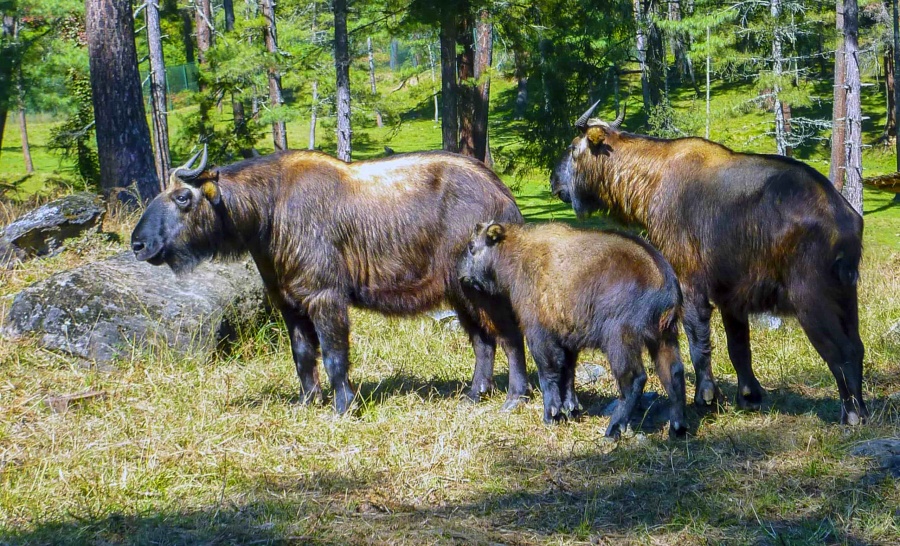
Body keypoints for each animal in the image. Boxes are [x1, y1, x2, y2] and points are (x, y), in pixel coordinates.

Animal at [132, 147, 528, 410]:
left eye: (182, 197)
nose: (138, 244)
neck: (271, 210)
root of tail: (504, 195)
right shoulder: (290, 303)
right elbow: (303, 356)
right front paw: (308, 402)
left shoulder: (325, 296)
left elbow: (335, 355)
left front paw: (344, 405)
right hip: (461, 293)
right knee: (483, 341)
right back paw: (475, 394)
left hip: (483, 292)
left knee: (510, 337)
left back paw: (515, 396)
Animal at [460, 221, 684, 438]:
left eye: (471, 246)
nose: (460, 274)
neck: (518, 256)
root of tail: (667, 283)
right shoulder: (568, 340)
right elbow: (567, 373)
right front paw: (571, 410)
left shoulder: (540, 335)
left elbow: (549, 373)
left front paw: (551, 415)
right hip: (664, 339)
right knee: (674, 374)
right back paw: (677, 427)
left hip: (619, 341)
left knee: (634, 379)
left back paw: (613, 429)